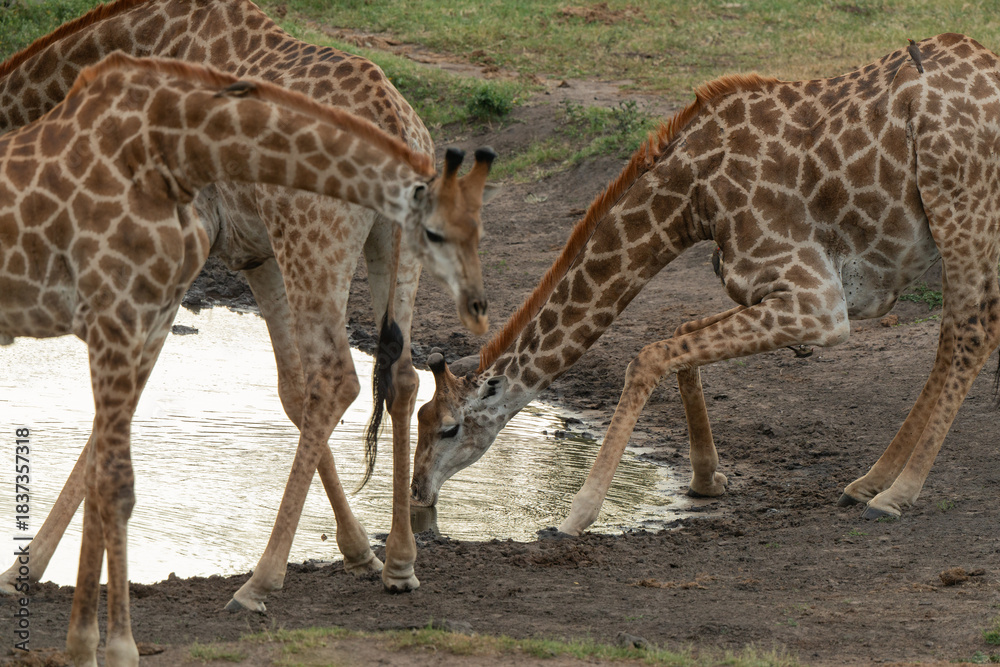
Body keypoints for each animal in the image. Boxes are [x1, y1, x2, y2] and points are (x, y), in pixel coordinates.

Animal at [0, 52, 494, 667]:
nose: (478, 308)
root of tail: (396, 119)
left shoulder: (169, 272)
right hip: (382, 251)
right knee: (398, 376)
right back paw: (400, 563)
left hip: (313, 249)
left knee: (338, 377)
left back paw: (258, 583)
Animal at [412, 33, 1000, 534]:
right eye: (419, 416)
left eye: (448, 427)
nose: (417, 492)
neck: (692, 197)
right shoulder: (781, 294)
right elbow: (680, 336)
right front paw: (706, 478)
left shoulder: (820, 304)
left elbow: (647, 354)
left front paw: (577, 515)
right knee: (956, 337)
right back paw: (869, 482)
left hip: (959, 203)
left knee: (972, 333)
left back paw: (897, 494)